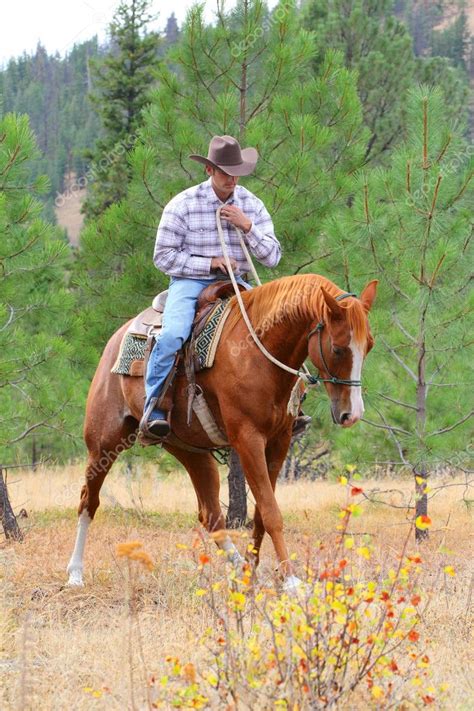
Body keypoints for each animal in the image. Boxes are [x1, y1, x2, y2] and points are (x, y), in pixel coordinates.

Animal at [67, 276, 378, 588]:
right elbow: (271, 512)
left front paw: (256, 571)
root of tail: (116, 338)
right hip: (103, 443)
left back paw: (243, 571)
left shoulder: (280, 440)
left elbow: (262, 512)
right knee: (88, 501)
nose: (352, 414)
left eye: (369, 346)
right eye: (338, 348)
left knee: (211, 516)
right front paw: (291, 582)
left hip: (190, 451)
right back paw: (75, 573)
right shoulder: (248, 439)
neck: (258, 353)